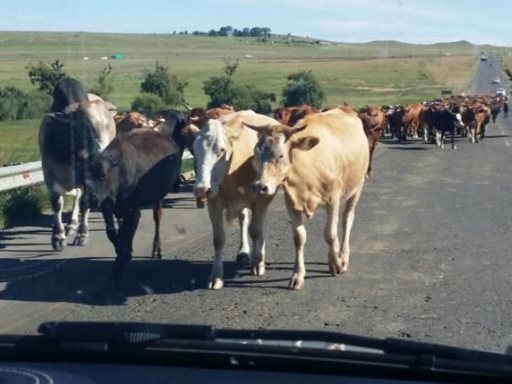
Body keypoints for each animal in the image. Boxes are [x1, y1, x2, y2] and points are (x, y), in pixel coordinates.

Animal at [39, 78, 116, 252]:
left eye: (110, 126)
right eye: (86, 127)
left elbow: (84, 204)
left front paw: (82, 234)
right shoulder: (49, 175)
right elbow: (57, 205)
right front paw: (58, 237)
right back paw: (71, 224)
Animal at [245, 109, 368, 290]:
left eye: (281, 155)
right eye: (256, 152)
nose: (260, 186)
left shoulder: (334, 198)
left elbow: (330, 234)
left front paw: (336, 264)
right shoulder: (291, 202)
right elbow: (299, 238)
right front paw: (298, 275)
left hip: (357, 187)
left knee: (347, 220)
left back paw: (343, 256)